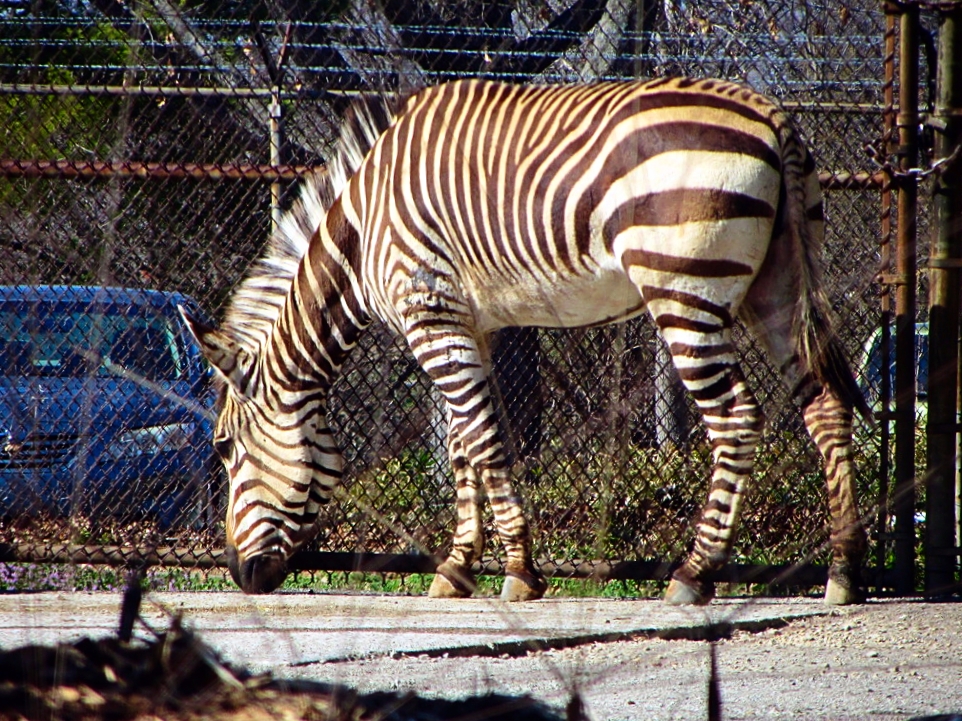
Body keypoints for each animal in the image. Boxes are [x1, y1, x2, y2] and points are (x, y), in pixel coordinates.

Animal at [181, 77, 870, 605]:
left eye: (222, 448)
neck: (359, 235)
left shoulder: (430, 315)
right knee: (824, 405)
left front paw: (517, 573)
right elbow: (462, 445)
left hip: (684, 290)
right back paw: (844, 572)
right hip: (777, 288)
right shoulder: (469, 324)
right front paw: (458, 569)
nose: (239, 576)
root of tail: (773, 116)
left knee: (737, 418)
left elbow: (483, 441)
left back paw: (693, 574)